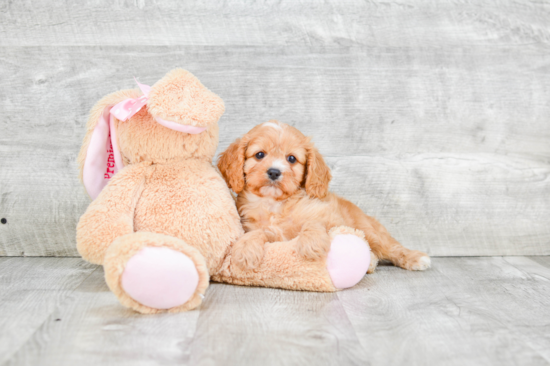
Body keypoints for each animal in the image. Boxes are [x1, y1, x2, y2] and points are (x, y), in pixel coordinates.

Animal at [218, 121, 434, 274]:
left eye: (291, 159)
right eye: (259, 155)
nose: (274, 172)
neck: (275, 204)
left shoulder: (329, 217)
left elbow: (313, 222)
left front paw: (311, 242)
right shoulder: (267, 232)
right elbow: (258, 232)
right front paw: (245, 249)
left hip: (370, 231)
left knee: (392, 247)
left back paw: (415, 258)